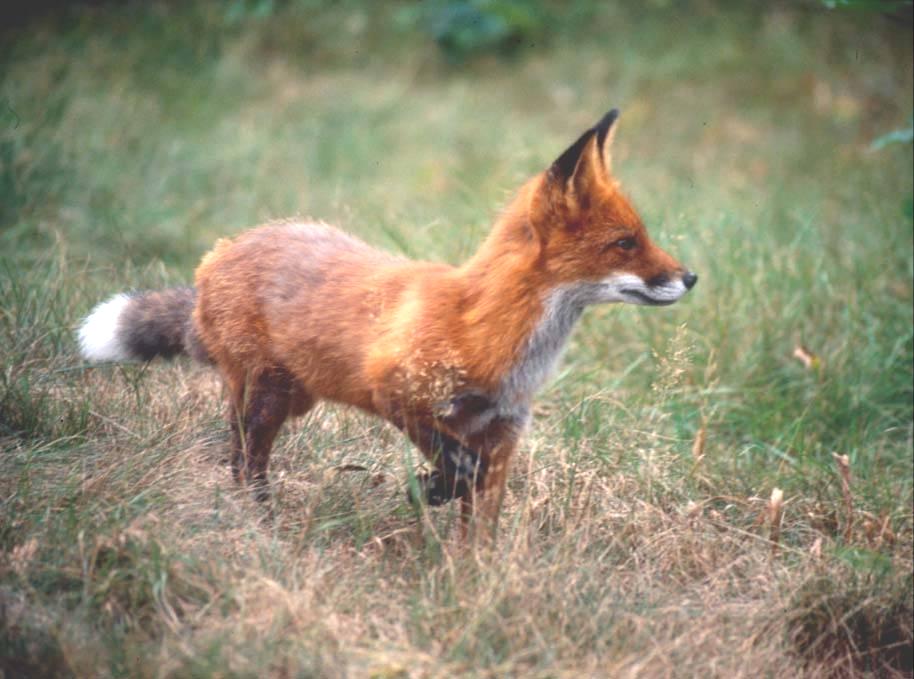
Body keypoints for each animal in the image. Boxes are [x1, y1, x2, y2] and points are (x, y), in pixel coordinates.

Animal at [78, 110, 696, 536]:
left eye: (644, 237)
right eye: (626, 243)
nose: (690, 277)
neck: (488, 331)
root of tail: (221, 253)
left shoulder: (502, 433)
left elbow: (479, 526)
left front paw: (471, 592)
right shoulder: (398, 393)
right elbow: (455, 467)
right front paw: (429, 490)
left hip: (293, 396)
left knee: (235, 453)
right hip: (266, 398)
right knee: (243, 461)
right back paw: (260, 521)